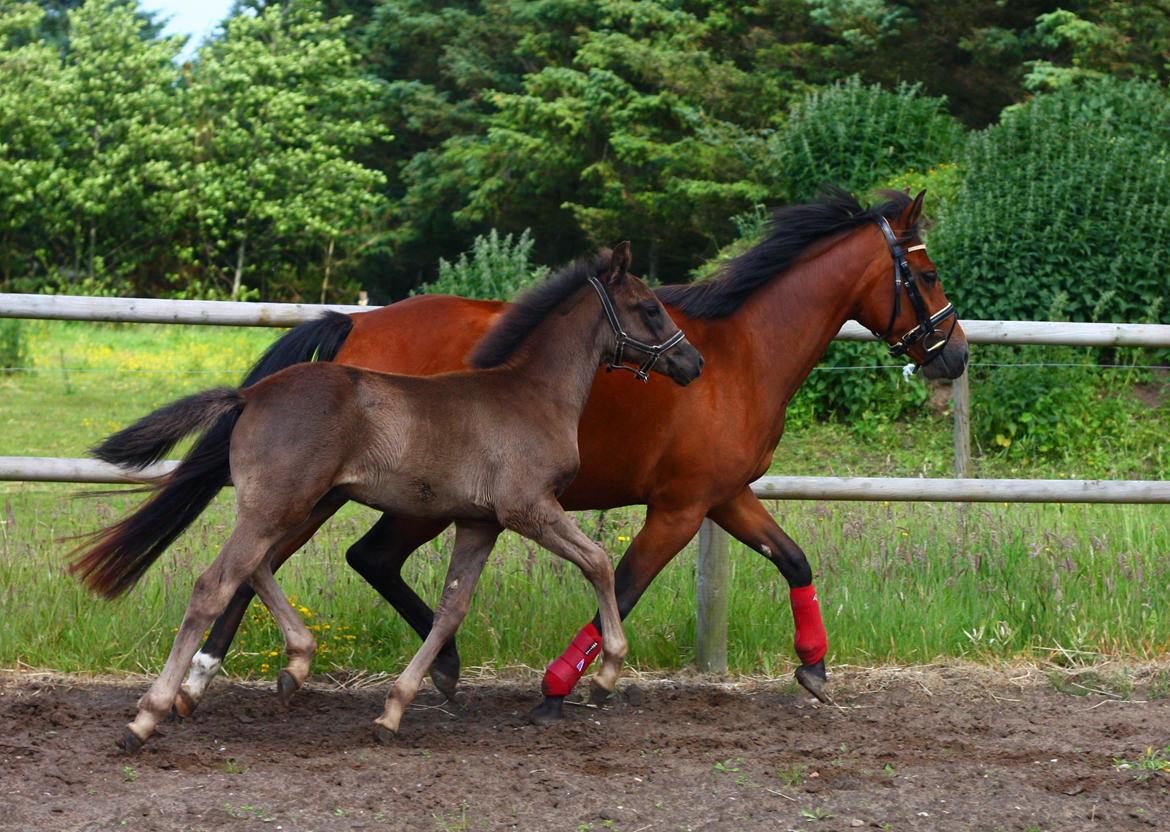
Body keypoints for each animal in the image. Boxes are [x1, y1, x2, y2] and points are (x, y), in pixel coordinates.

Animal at [70, 244, 702, 753]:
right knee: (215, 583)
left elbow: (452, 609)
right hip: (284, 503)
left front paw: (395, 709)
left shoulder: (479, 522)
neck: (530, 394)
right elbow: (598, 562)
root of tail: (251, 395)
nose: (692, 363)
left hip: (302, 502)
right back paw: (147, 718)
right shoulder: (528, 508)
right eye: (649, 307)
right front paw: (607, 672)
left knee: (257, 565)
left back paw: (296, 659)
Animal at [100, 188, 964, 720]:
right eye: (923, 272)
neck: (737, 354)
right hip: (339, 491)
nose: (953, 354)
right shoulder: (680, 506)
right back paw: (205, 681)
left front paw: (814, 668)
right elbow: (623, 581)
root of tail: (353, 324)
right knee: (283, 559)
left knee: (334, 559)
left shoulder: (724, 496)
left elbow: (793, 559)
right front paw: (562, 684)